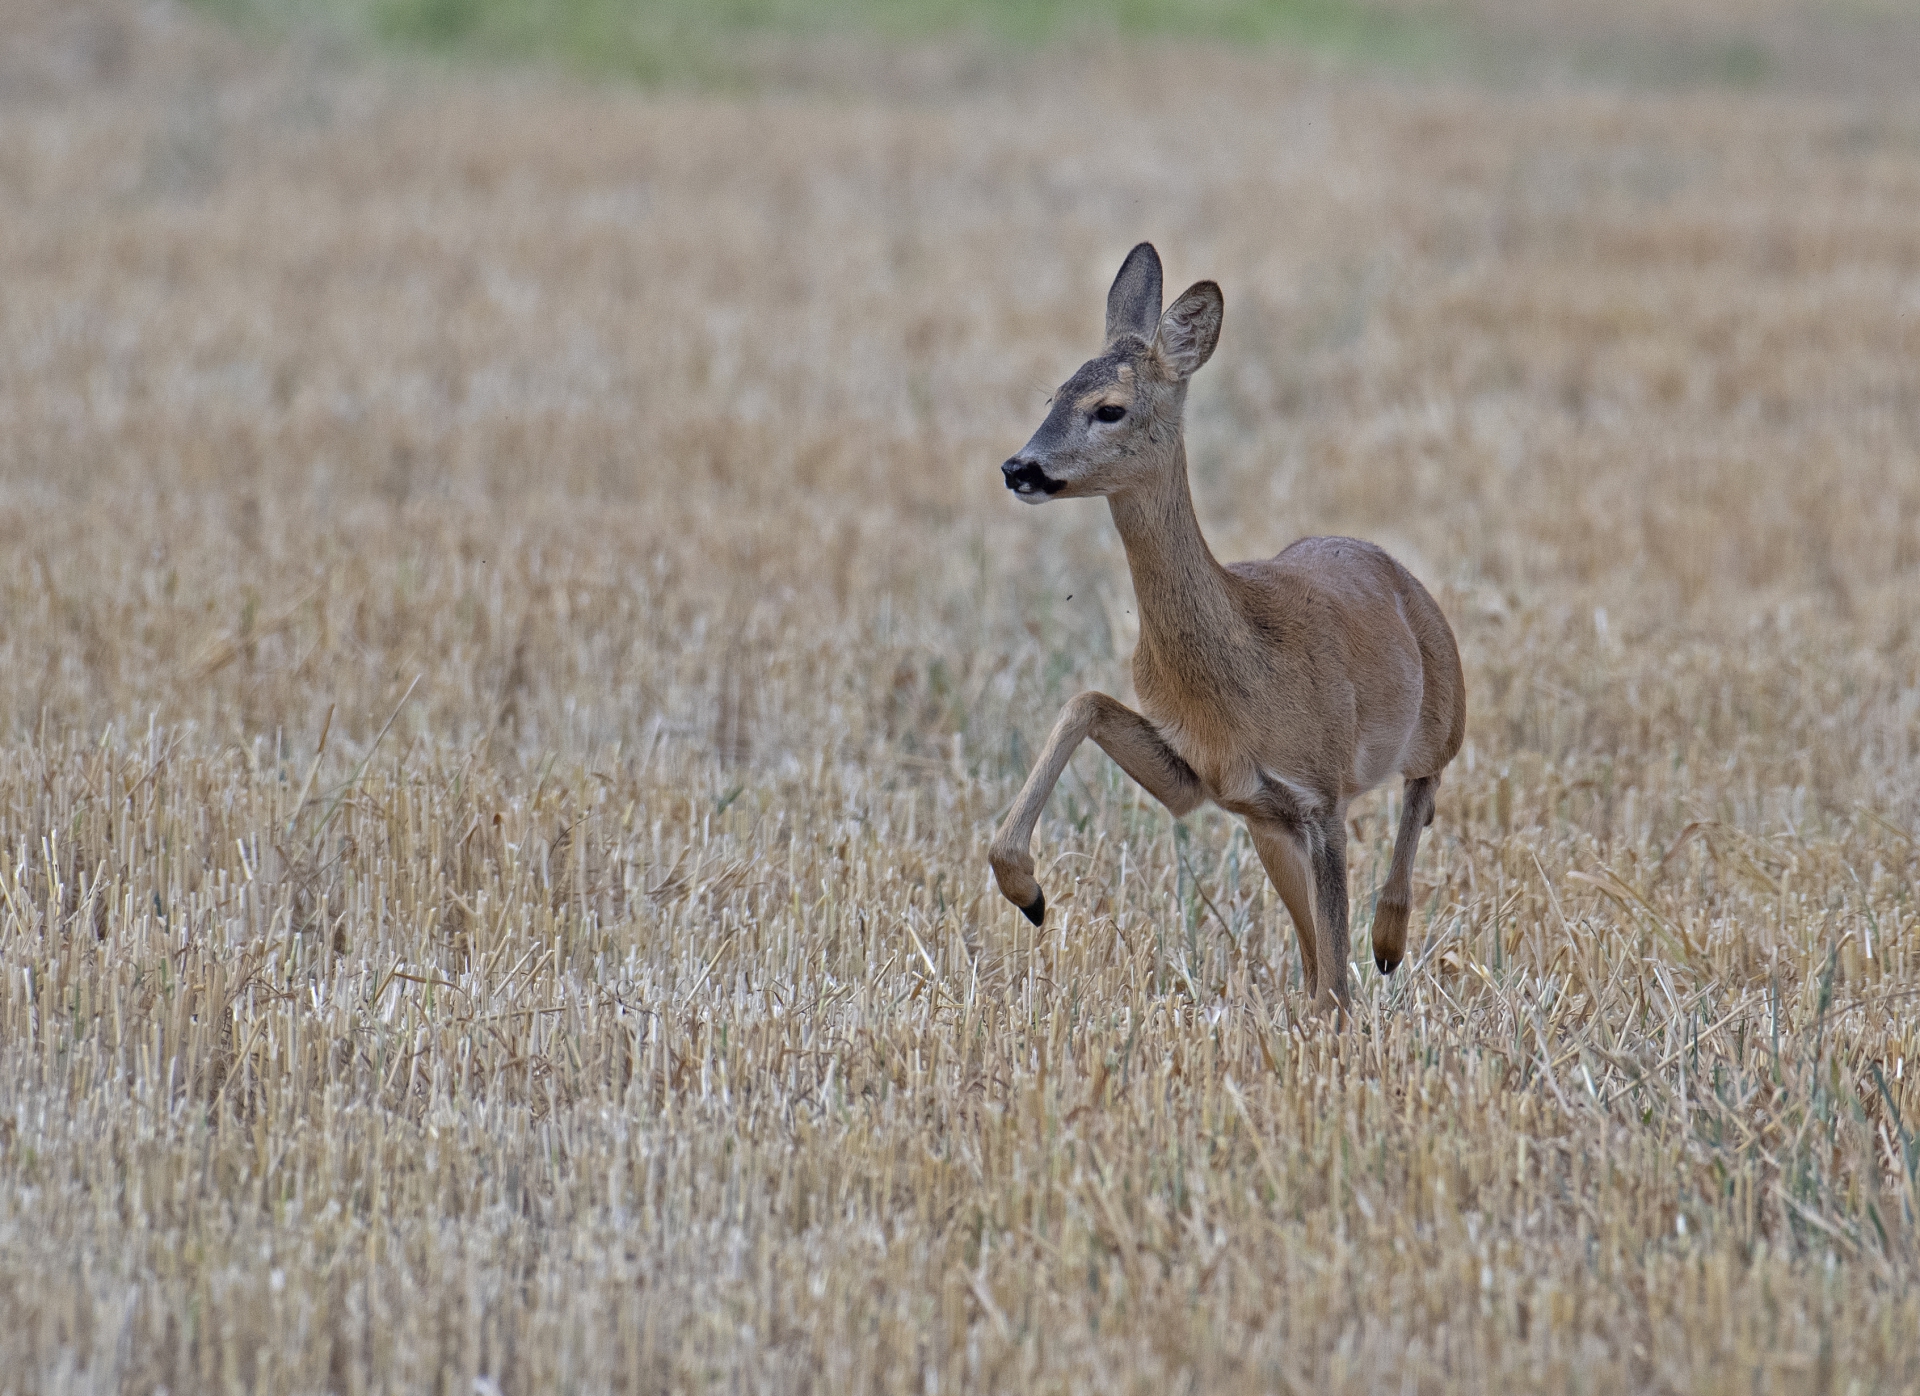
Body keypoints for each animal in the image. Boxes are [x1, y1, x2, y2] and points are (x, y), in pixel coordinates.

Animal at [990, 242, 1466, 1013]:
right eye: (1053, 396)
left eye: (1109, 409)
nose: (1018, 467)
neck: (1243, 664)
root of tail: (1400, 573)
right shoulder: (1213, 782)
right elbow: (1083, 702)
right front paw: (1026, 891)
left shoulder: (1322, 791)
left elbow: (1338, 982)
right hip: (1268, 826)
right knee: (1313, 951)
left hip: (1443, 711)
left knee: (1423, 786)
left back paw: (1390, 940)